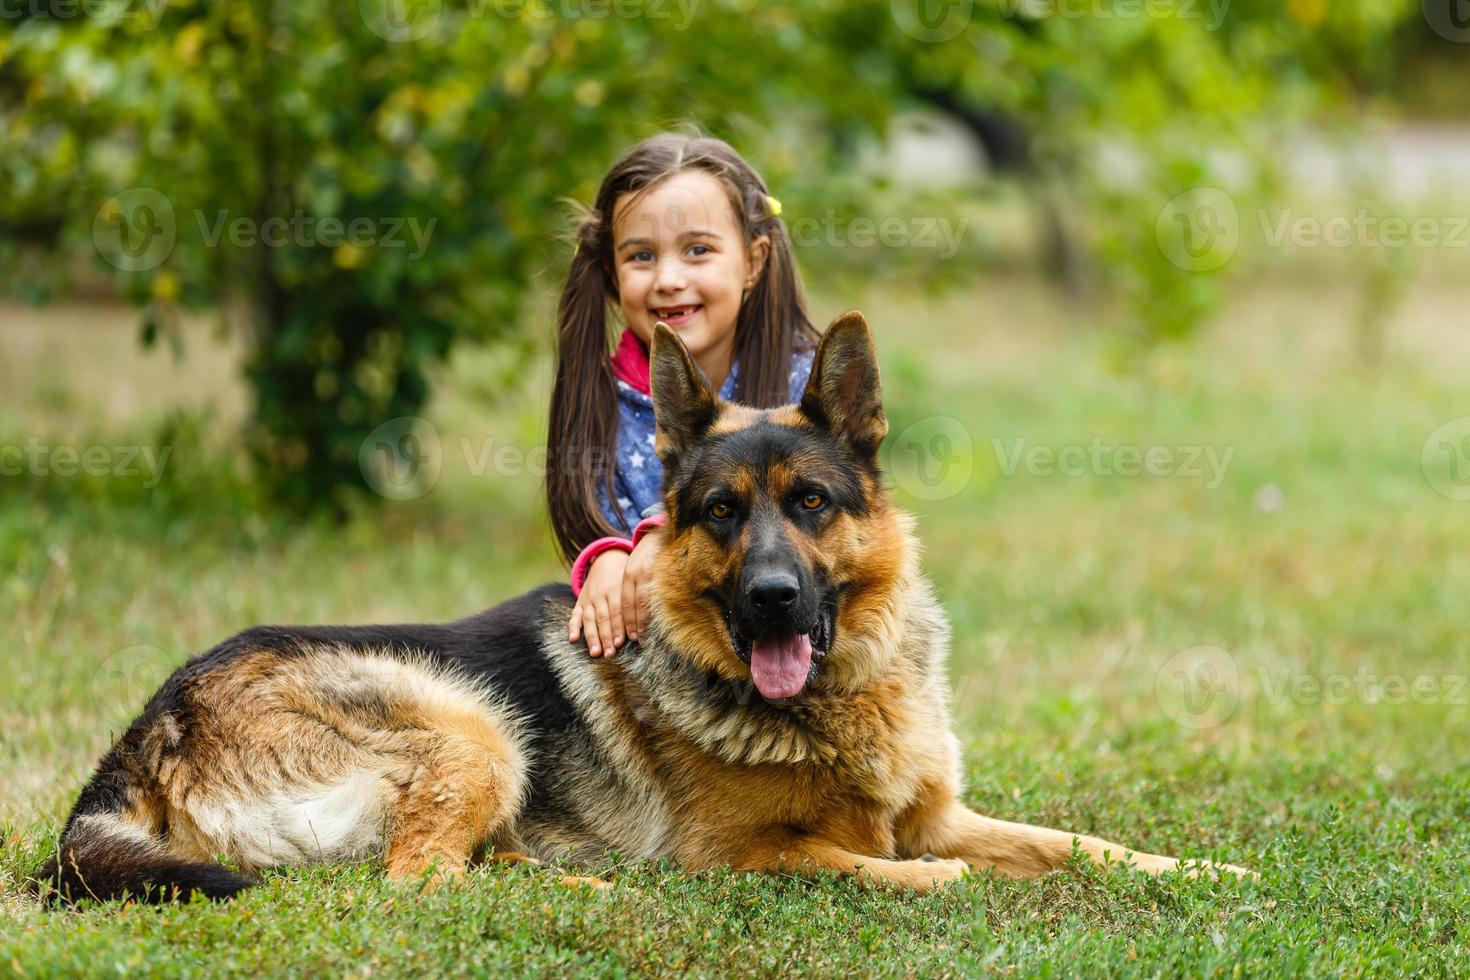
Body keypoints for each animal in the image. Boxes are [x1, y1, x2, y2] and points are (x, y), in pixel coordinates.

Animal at [34, 314, 1246, 905]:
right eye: (718, 512)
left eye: (811, 503)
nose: (770, 599)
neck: (835, 704)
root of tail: (142, 740)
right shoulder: (735, 855)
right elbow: (864, 861)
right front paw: (924, 881)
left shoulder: (946, 813)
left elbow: (1079, 841)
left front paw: (1202, 871)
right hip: (469, 722)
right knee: (413, 884)